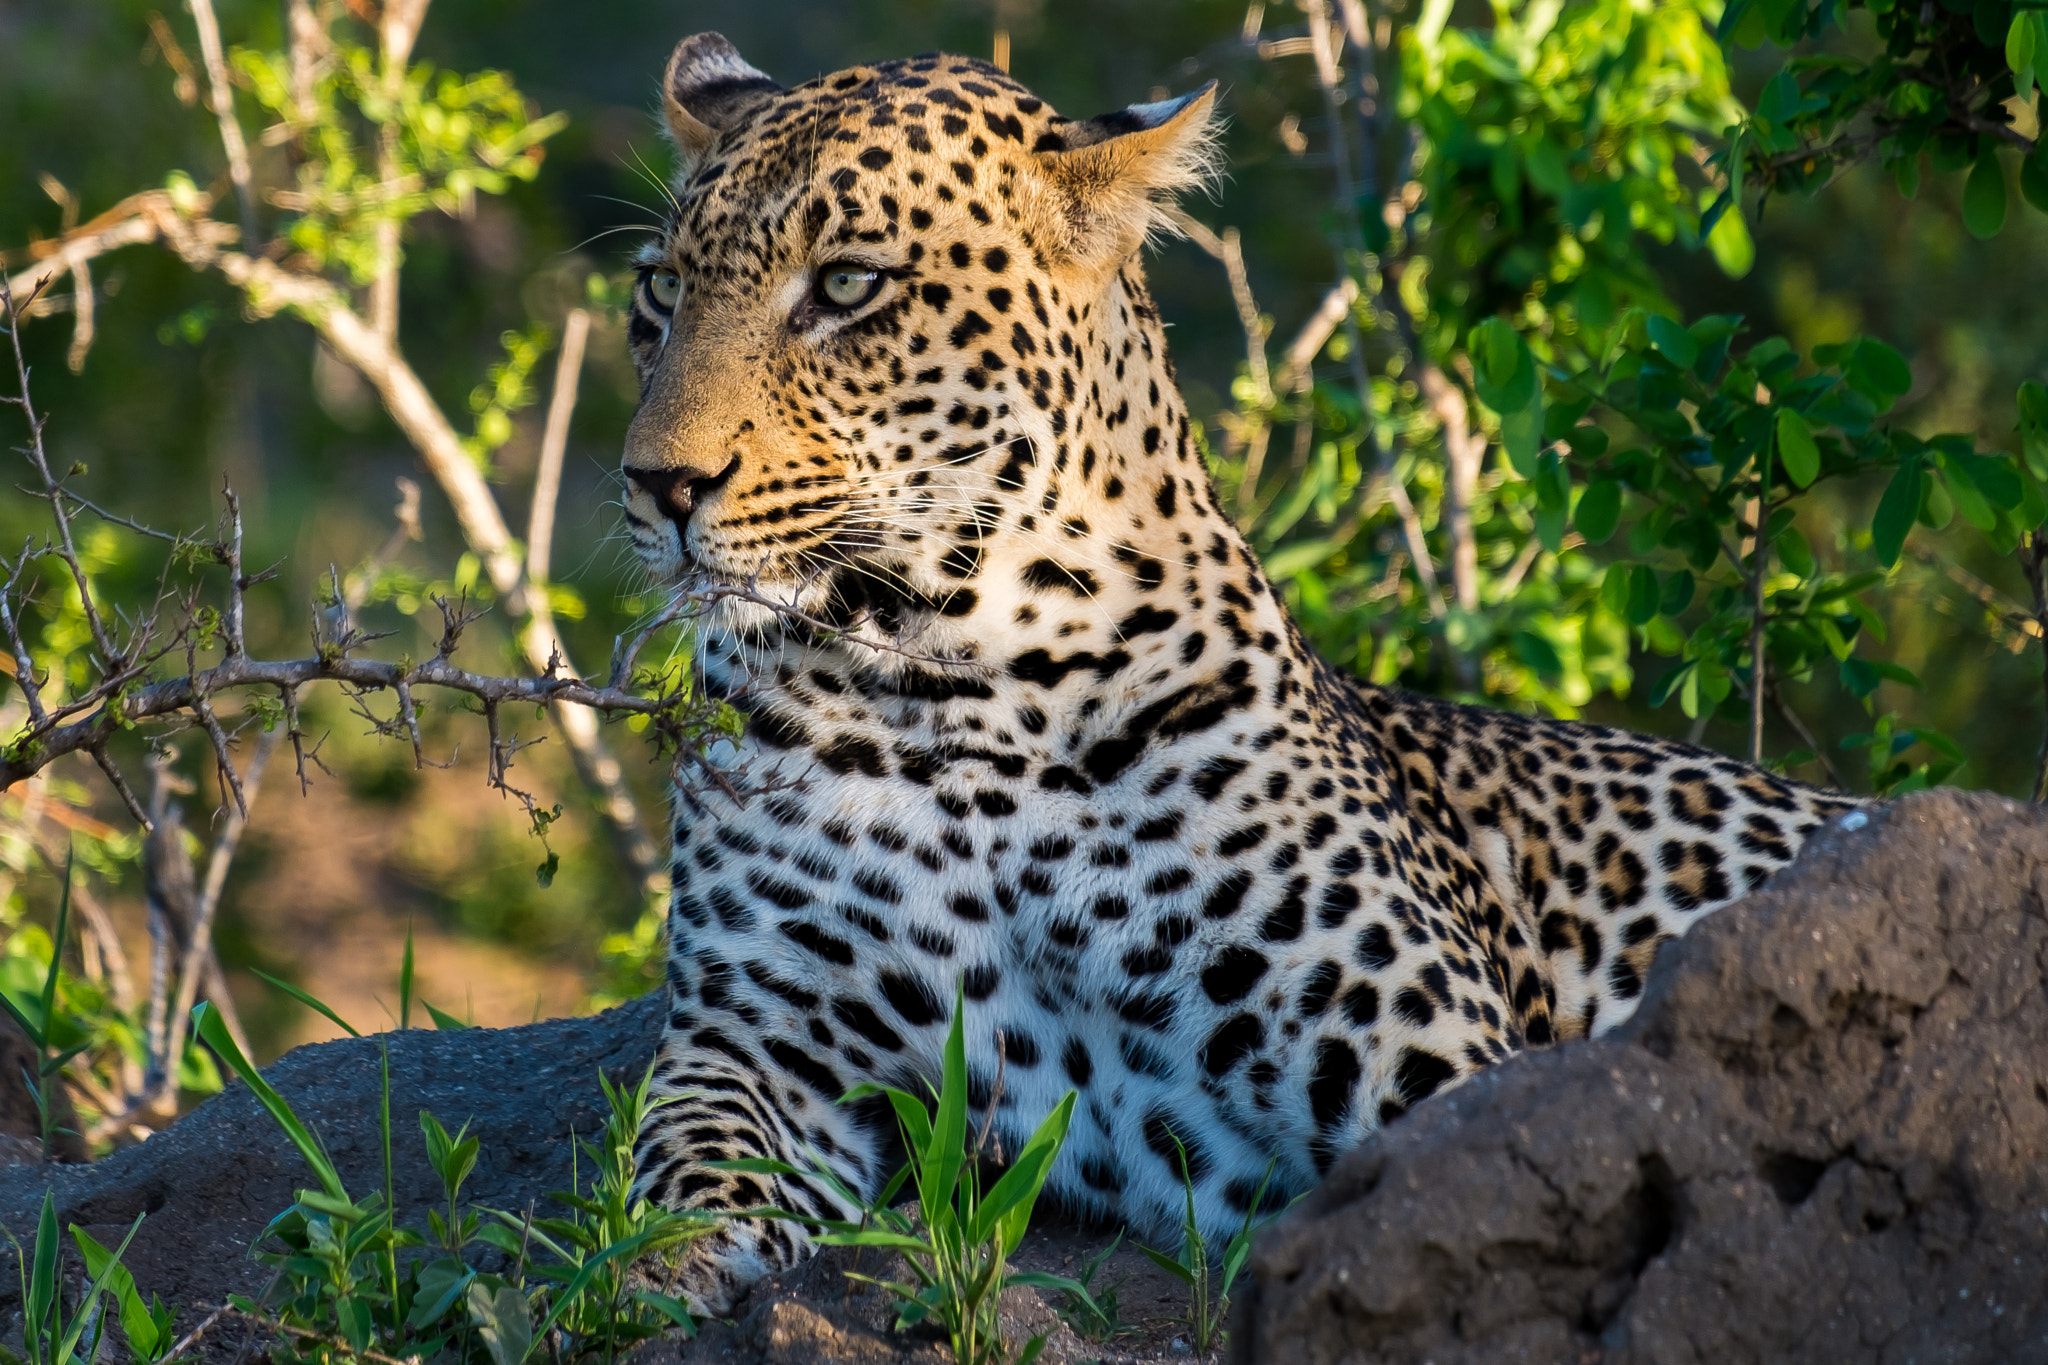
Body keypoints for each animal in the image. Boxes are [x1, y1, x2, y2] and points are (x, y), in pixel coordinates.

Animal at [615, 31, 1858, 1315]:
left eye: (848, 285)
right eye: (660, 292)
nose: (658, 483)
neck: (949, 669)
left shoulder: (1423, 1053)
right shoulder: (761, 1029)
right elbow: (679, 1163)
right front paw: (658, 1271)